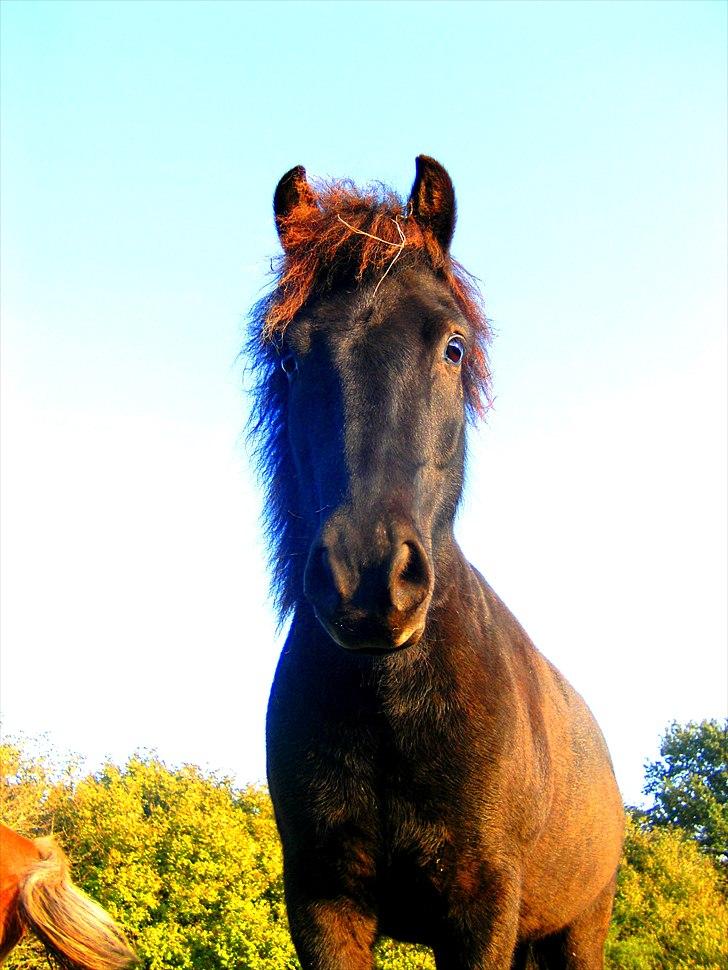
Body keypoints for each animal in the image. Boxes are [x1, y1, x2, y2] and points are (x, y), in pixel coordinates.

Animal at [252, 155, 624, 964]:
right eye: (291, 358)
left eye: (453, 346)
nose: (366, 575)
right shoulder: (324, 905)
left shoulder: (481, 907)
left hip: (580, 929)